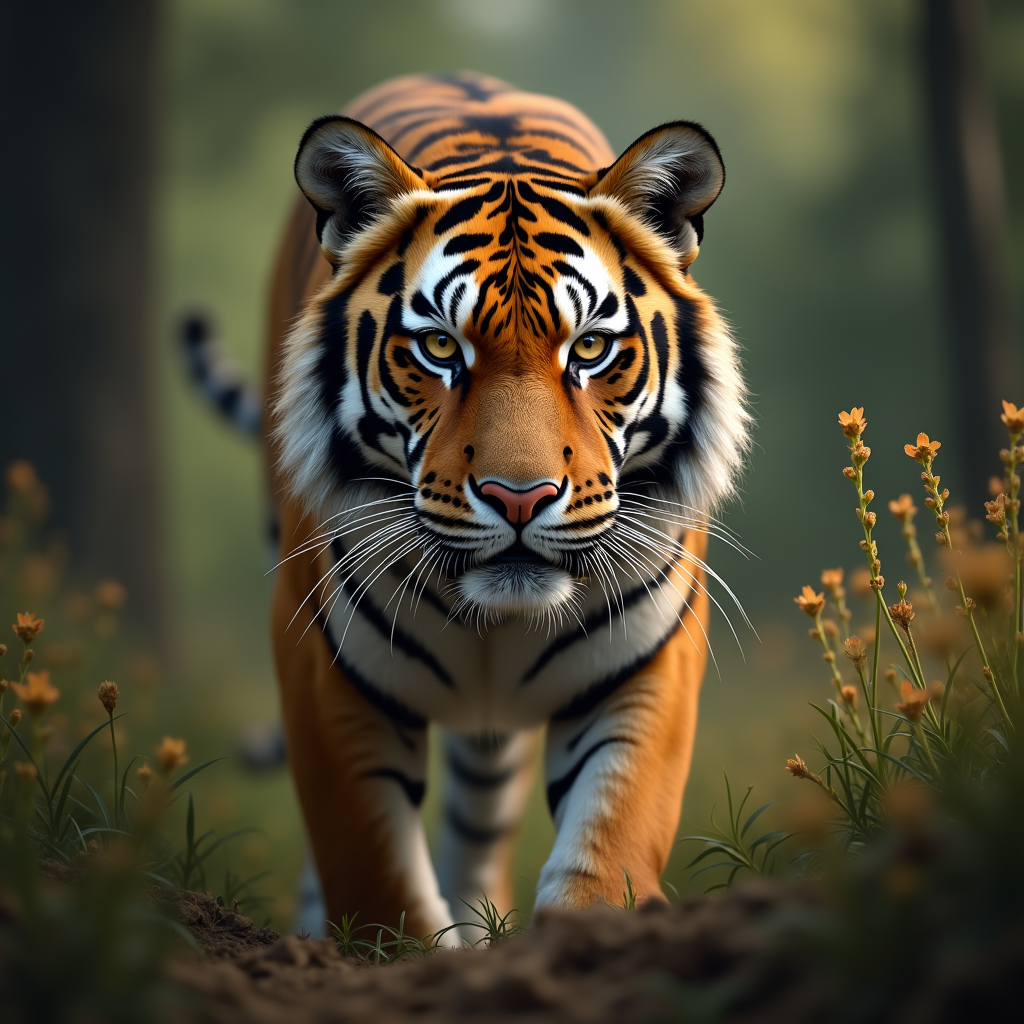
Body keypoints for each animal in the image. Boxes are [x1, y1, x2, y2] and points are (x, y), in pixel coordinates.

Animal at [263, 71, 749, 939]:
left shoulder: (648, 665)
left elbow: (614, 837)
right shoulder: (320, 666)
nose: (518, 498)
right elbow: (373, 871)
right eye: (439, 347)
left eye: (589, 348)